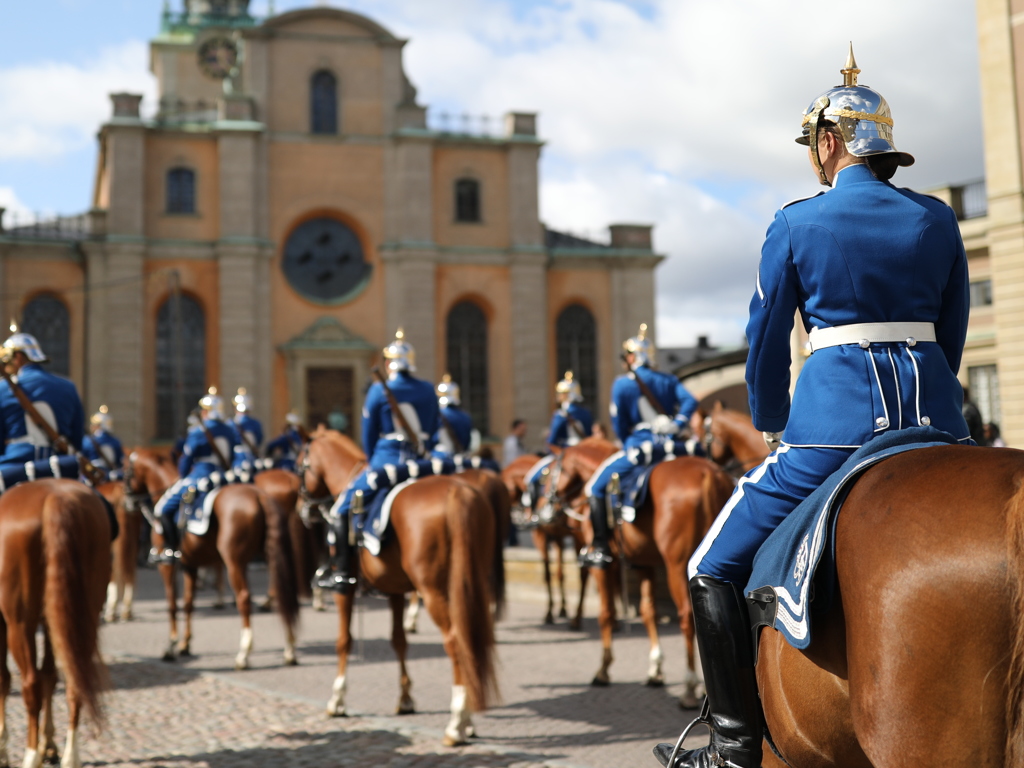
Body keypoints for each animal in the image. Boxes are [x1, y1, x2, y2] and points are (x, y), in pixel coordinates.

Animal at [0, 481, 111, 768]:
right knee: (74, 680)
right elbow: (50, 675)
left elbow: (5, 679)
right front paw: (48, 743)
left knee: (30, 685)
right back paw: (70, 756)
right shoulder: (54, 625)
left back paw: (30, 756)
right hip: (83, 619)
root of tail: (57, 497)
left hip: (20, 625)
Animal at [123, 448, 299, 671]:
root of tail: (259, 495)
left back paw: (243, 654)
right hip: (272, 558)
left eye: (126, 471)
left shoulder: (167, 565)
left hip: (234, 562)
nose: (127, 500)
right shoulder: (190, 565)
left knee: (244, 598)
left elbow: (172, 604)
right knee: (283, 595)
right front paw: (185, 644)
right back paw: (289, 649)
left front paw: (171, 646)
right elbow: (188, 603)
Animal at [299, 428, 497, 745]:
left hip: (435, 592)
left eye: (299, 465)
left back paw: (456, 722)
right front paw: (405, 699)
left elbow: (344, 641)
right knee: (473, 639)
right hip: (473, 584)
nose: (302, 509)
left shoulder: (345, 589)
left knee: (455, 640)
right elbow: (399, 640)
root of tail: (458, 492)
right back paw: (468, 720)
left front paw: (337, 700)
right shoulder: (394, 590)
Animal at [499, 454, 589, 626]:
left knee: (584, 574)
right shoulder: (557, 537)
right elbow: (559, 573)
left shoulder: (540, 536)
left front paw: (549, 613)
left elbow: (548, 574)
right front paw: (562, 609)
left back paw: (578, 618)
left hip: (578, 539)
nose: (514, 513)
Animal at [548, 442, 733, 708]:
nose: (545, 508)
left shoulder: (604, 567)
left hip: (678, 566)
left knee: (688, 616)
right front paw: (655, 669)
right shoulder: (644, 565)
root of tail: (710, 474)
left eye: (550, 472)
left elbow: (606, 613)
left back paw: (690, 688)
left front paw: (603, 670)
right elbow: (648, 612)